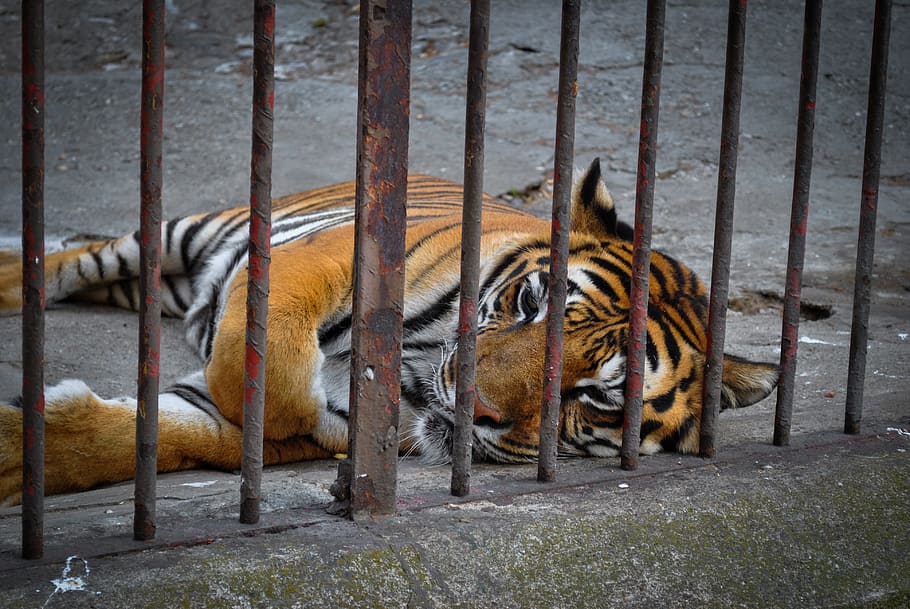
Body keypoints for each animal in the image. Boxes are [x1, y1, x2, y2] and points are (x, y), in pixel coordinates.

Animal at [0, 159, 778, 505]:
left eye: (597, 396)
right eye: (530, 300)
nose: (475, 406)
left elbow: (156, 433)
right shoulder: (330, 255)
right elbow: (262, 368)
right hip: (176, 235)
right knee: (69, 259)